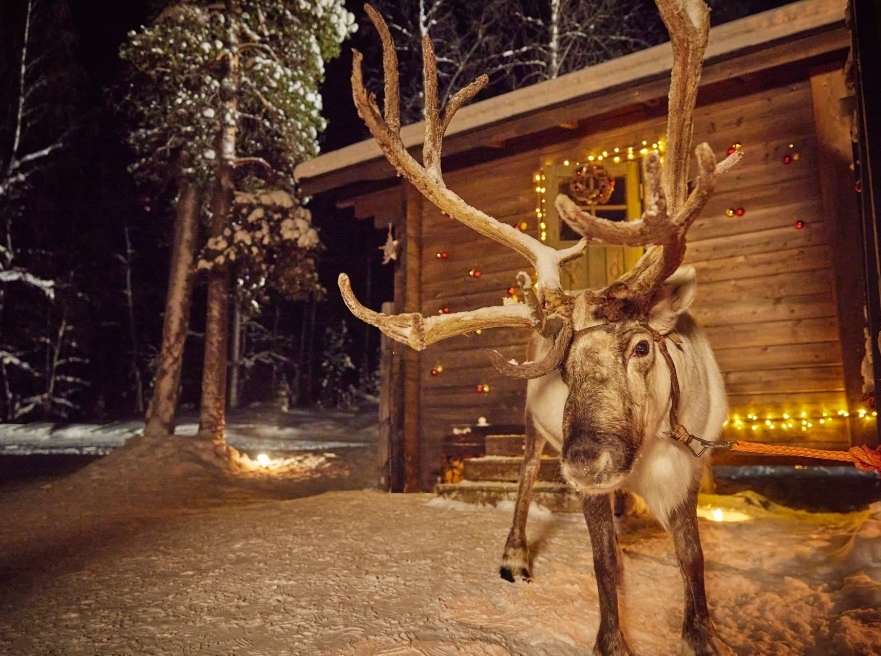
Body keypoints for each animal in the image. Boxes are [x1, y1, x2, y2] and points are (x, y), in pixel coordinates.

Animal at [337, 2, 742, 654]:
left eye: (642, 346)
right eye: (565, 365)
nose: (585, 459)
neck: (652, 451)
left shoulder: (690, 471)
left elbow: (694, 562)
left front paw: (702, 632)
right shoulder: (590, 488)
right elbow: (604, 567)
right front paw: (611, 638)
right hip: (533, 428)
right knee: (527, 477)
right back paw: (516, 555)